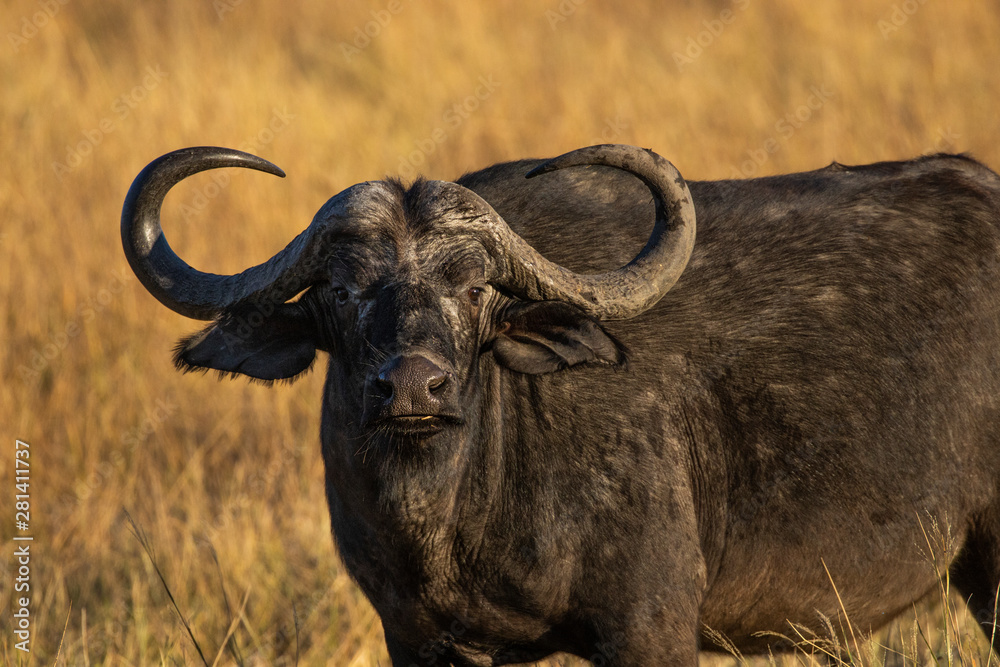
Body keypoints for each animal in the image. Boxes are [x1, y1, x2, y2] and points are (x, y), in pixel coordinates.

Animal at [122, 143, 1000, 666]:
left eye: (475, 288)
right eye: (340, 290)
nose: (413, 387)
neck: (453, 517)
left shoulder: (648, 628)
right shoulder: (417, 638)